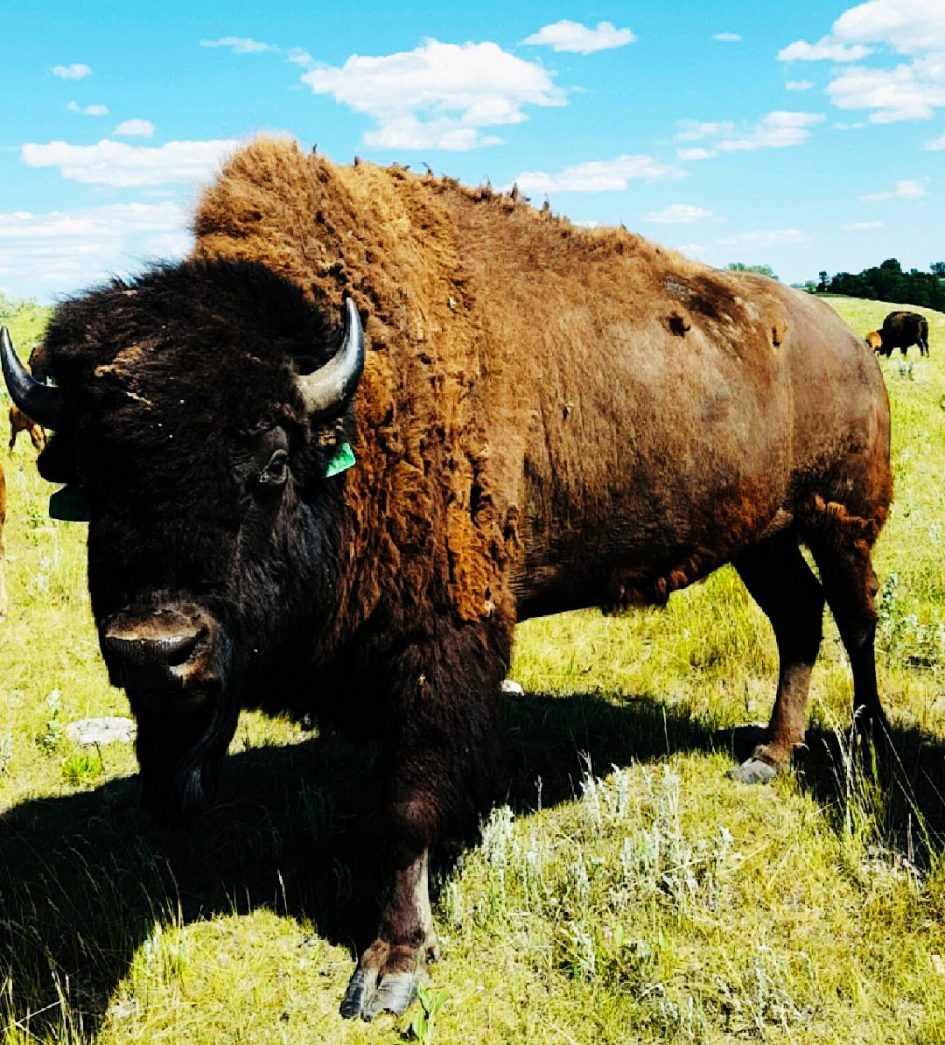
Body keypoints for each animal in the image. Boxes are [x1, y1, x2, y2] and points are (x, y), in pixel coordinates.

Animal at [1, 136, 894, 1019]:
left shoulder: (438, 646)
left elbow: (407, 805)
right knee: (797, 619)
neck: (354, 413)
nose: (156, 647)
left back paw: (869, 738)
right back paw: (768, 756)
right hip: (762, 535)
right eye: (94, 474)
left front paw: (390, 967)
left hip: (840, 518)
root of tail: (847, 341)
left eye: (273, 462)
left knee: (854, 619)